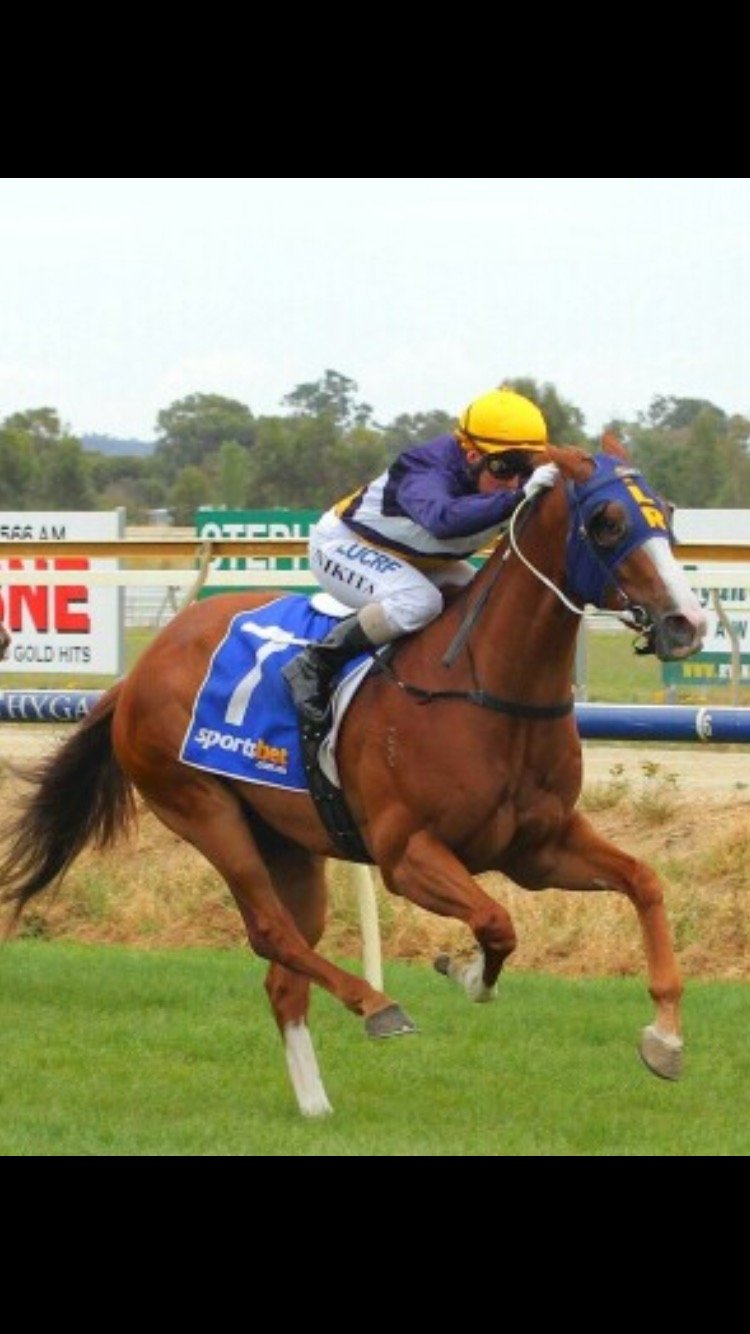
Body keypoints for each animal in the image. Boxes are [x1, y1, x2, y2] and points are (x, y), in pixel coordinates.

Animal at [0, 434, 704, 1115]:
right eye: (607, 521)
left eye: (668, 514)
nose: (687, 622)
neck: (484, 685)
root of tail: (140, 671)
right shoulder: (407, 854)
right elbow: (496, 923)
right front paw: (466, 973)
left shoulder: (537, 847)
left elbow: (644, 883)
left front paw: (666, 1039)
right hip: (203, 809)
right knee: (273, 934)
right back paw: (376, 1005)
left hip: (287, 844)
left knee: (284, 975)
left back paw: (316, 1108)